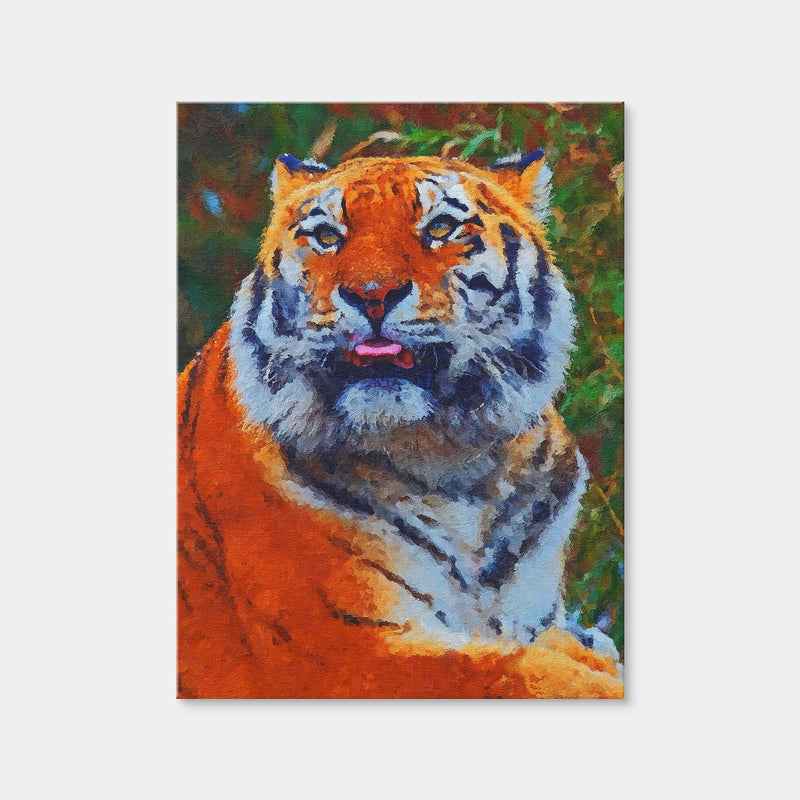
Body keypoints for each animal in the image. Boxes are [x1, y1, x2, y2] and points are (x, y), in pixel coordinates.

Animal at [177, 150, 623, 698]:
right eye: (327, 236)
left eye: (441, 228)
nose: (372, 293)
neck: (452, 458)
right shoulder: (349, 653)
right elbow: (519, 671)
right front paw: (588, 658)